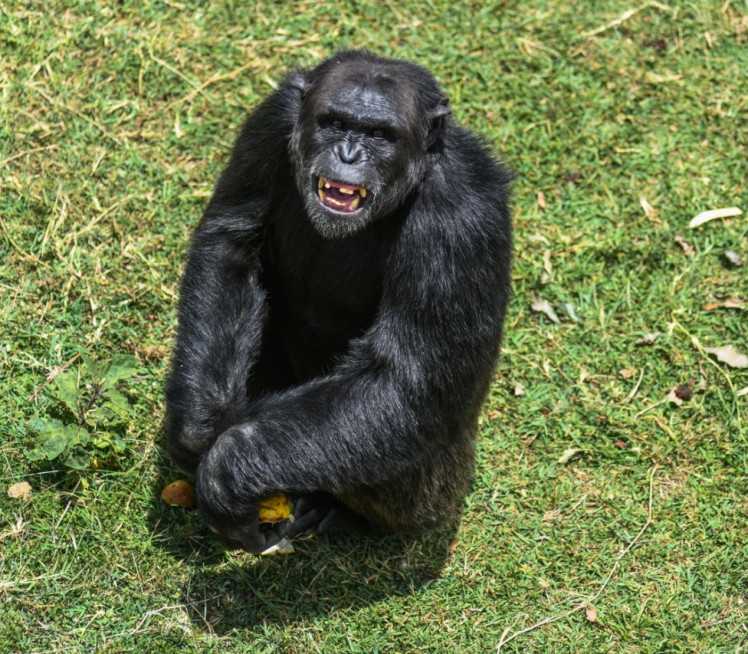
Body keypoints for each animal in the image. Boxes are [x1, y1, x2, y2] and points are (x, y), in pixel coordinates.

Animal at [166, 51, 512, 552]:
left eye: (380, 135)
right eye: (335, 123)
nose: (349, 153)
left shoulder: (463, 214)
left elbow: (405, 377)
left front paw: (227, 470)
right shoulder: (269, 123)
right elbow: (232, 242)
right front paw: (200, 423)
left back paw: (341, 512)